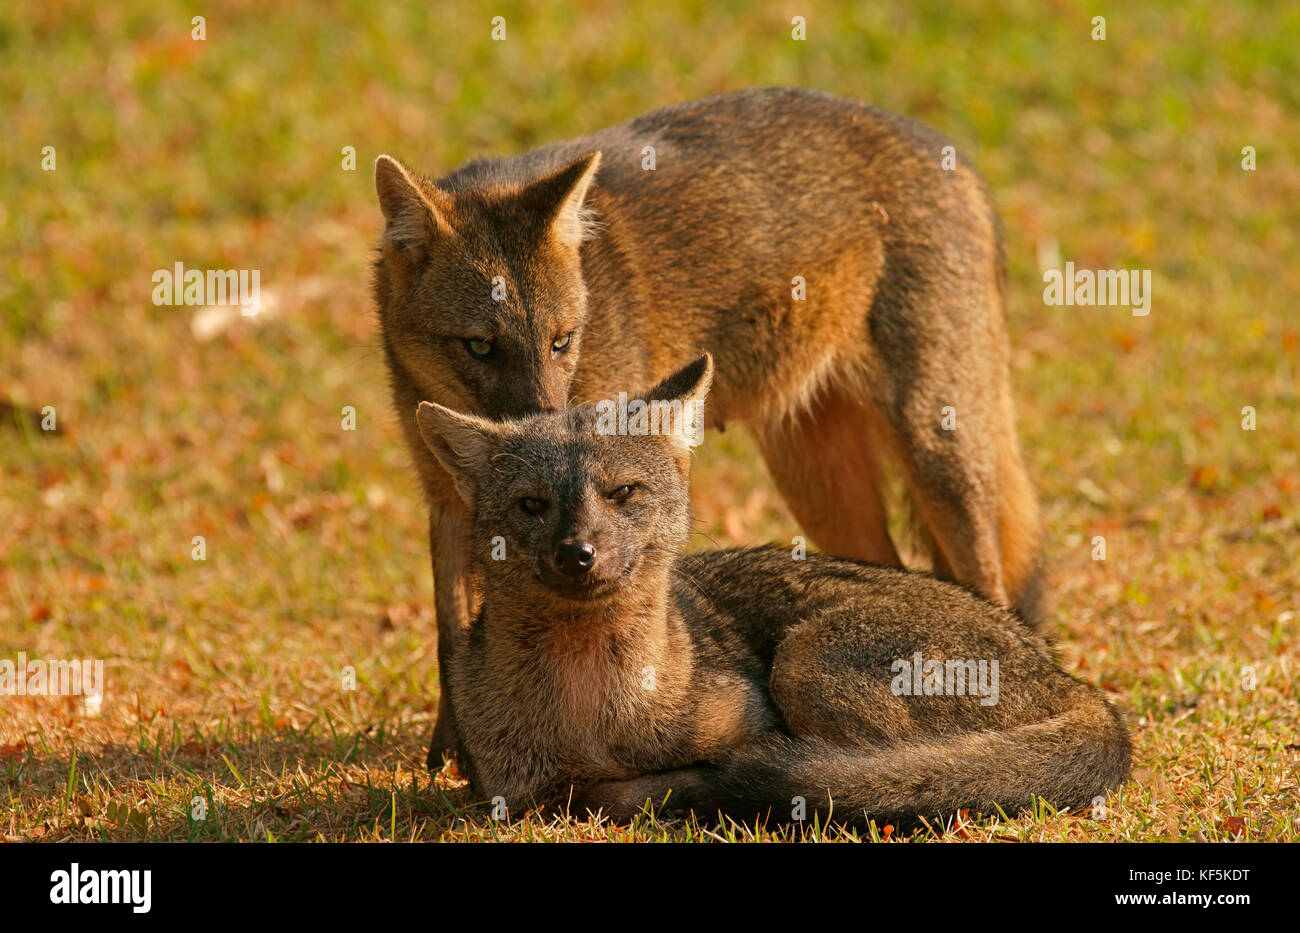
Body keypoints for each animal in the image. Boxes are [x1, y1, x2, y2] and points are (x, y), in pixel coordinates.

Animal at [371, 87, 1043, 765]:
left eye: (563, 341)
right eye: (480, 347)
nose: (541, 423)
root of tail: (947, 153)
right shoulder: (449, 502)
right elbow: (450, 633)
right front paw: (451, 760)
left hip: (936, 453)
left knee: (987, 581)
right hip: (819, 491)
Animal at [412, 354, 1129, 828]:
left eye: (622, 493)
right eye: (533, 506)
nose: (578, 553)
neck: (591, 714)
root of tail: (1074, 682)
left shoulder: (747, 717)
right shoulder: (508, 794)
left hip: (807, 662)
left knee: (887, 777)